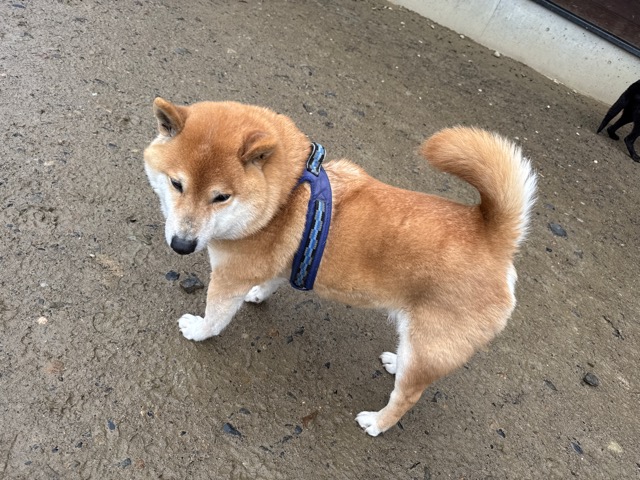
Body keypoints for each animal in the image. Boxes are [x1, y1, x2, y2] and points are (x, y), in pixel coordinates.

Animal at [144, 98, 537, 436]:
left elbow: (215, 317)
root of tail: (493, 236)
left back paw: (378, 422)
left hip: (430, 345)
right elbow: (270, 281)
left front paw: (199, 330)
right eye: (177, 184)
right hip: (420, 343)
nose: (182, 245)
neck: (287, 196)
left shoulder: (228, 277)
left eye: (221, 197)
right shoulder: (278, 262)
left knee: (408, 395)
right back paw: (395, 362)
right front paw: (258, 293)